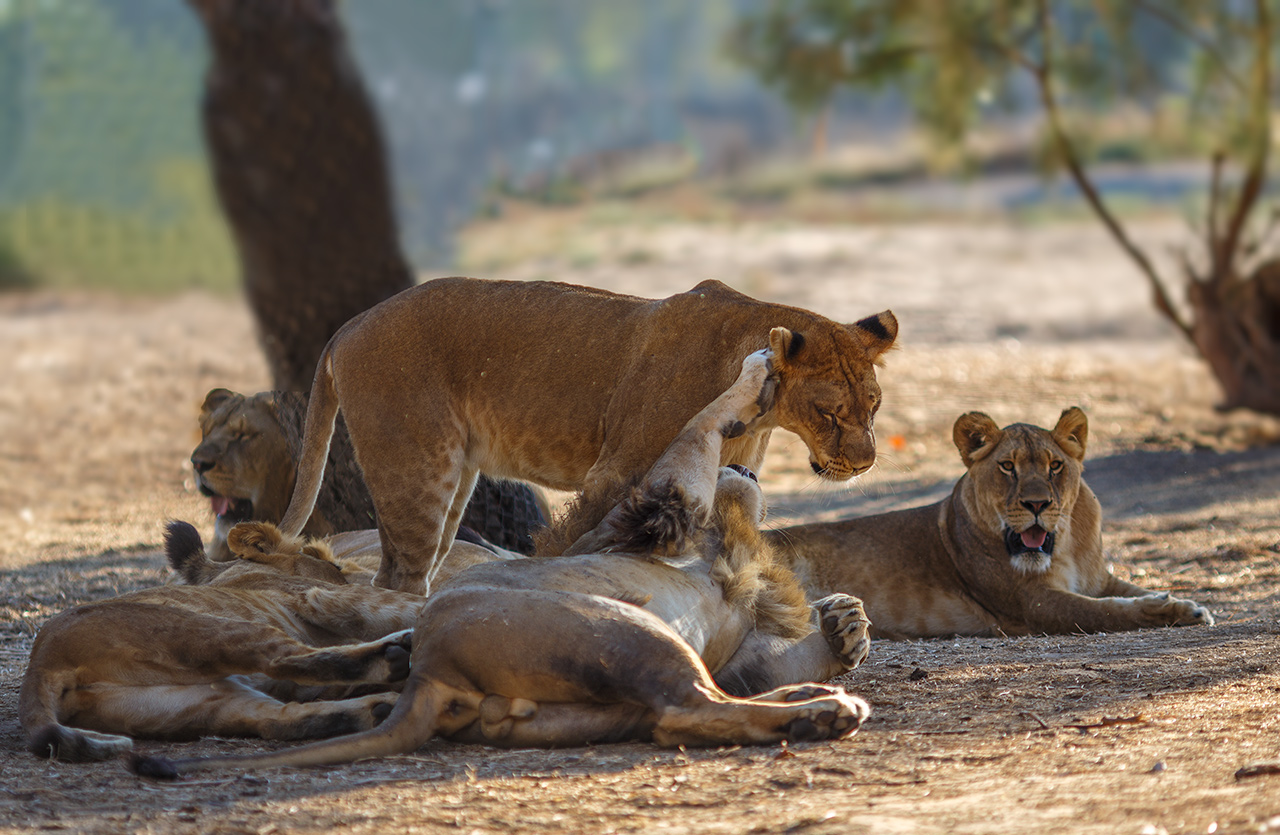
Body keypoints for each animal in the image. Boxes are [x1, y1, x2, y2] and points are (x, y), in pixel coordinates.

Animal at [127, 350, 870, 778]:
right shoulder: (662, 501)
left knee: (696, 707)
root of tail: (429, 669)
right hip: (625, 630)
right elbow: (705, 419)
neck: (725, 542)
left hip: (589, 706)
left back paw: (808, 703)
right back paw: (823, 710)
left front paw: (841, 631)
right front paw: (755, 370)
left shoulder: (733, 635)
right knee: (685, 713)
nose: (749, 463)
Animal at [277, 279, 901, 594]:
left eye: (873, 405)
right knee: (398, 577)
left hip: (452, 482)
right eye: (828, 413)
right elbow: (571, 542)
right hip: (418, 473)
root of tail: (347, 327)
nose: (864, 464)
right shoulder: (618, 471)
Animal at [762, 407, 1213, 640]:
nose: (1037, 504)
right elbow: (1104, 613)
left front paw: (1186, 606)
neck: (1065, 547)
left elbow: (1127, 593)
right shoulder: (1032, 603)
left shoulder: (1098, 580)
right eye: (1007, 467)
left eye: (1054, 466)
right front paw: (1159, 610)